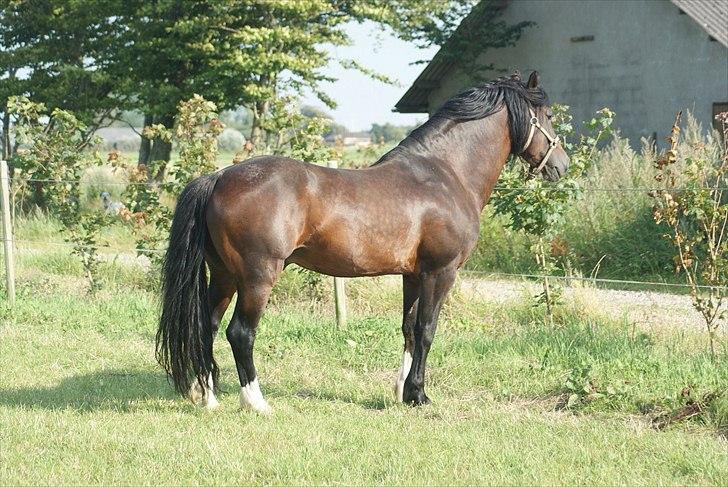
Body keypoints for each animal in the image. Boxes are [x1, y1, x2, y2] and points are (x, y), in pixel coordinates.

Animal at [156, 71, 572, 416]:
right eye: (548, 114)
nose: (561, 166)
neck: (444, 173)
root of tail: (218, 177)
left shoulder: (413, 275)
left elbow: (408, 328)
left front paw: (402, 393)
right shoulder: (440, 272)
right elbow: (427, 329)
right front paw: (420, 395)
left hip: (224, 275)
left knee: (207, 326)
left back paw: (208, 397)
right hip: (257, 277)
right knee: (240, 333)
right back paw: (257, 403)